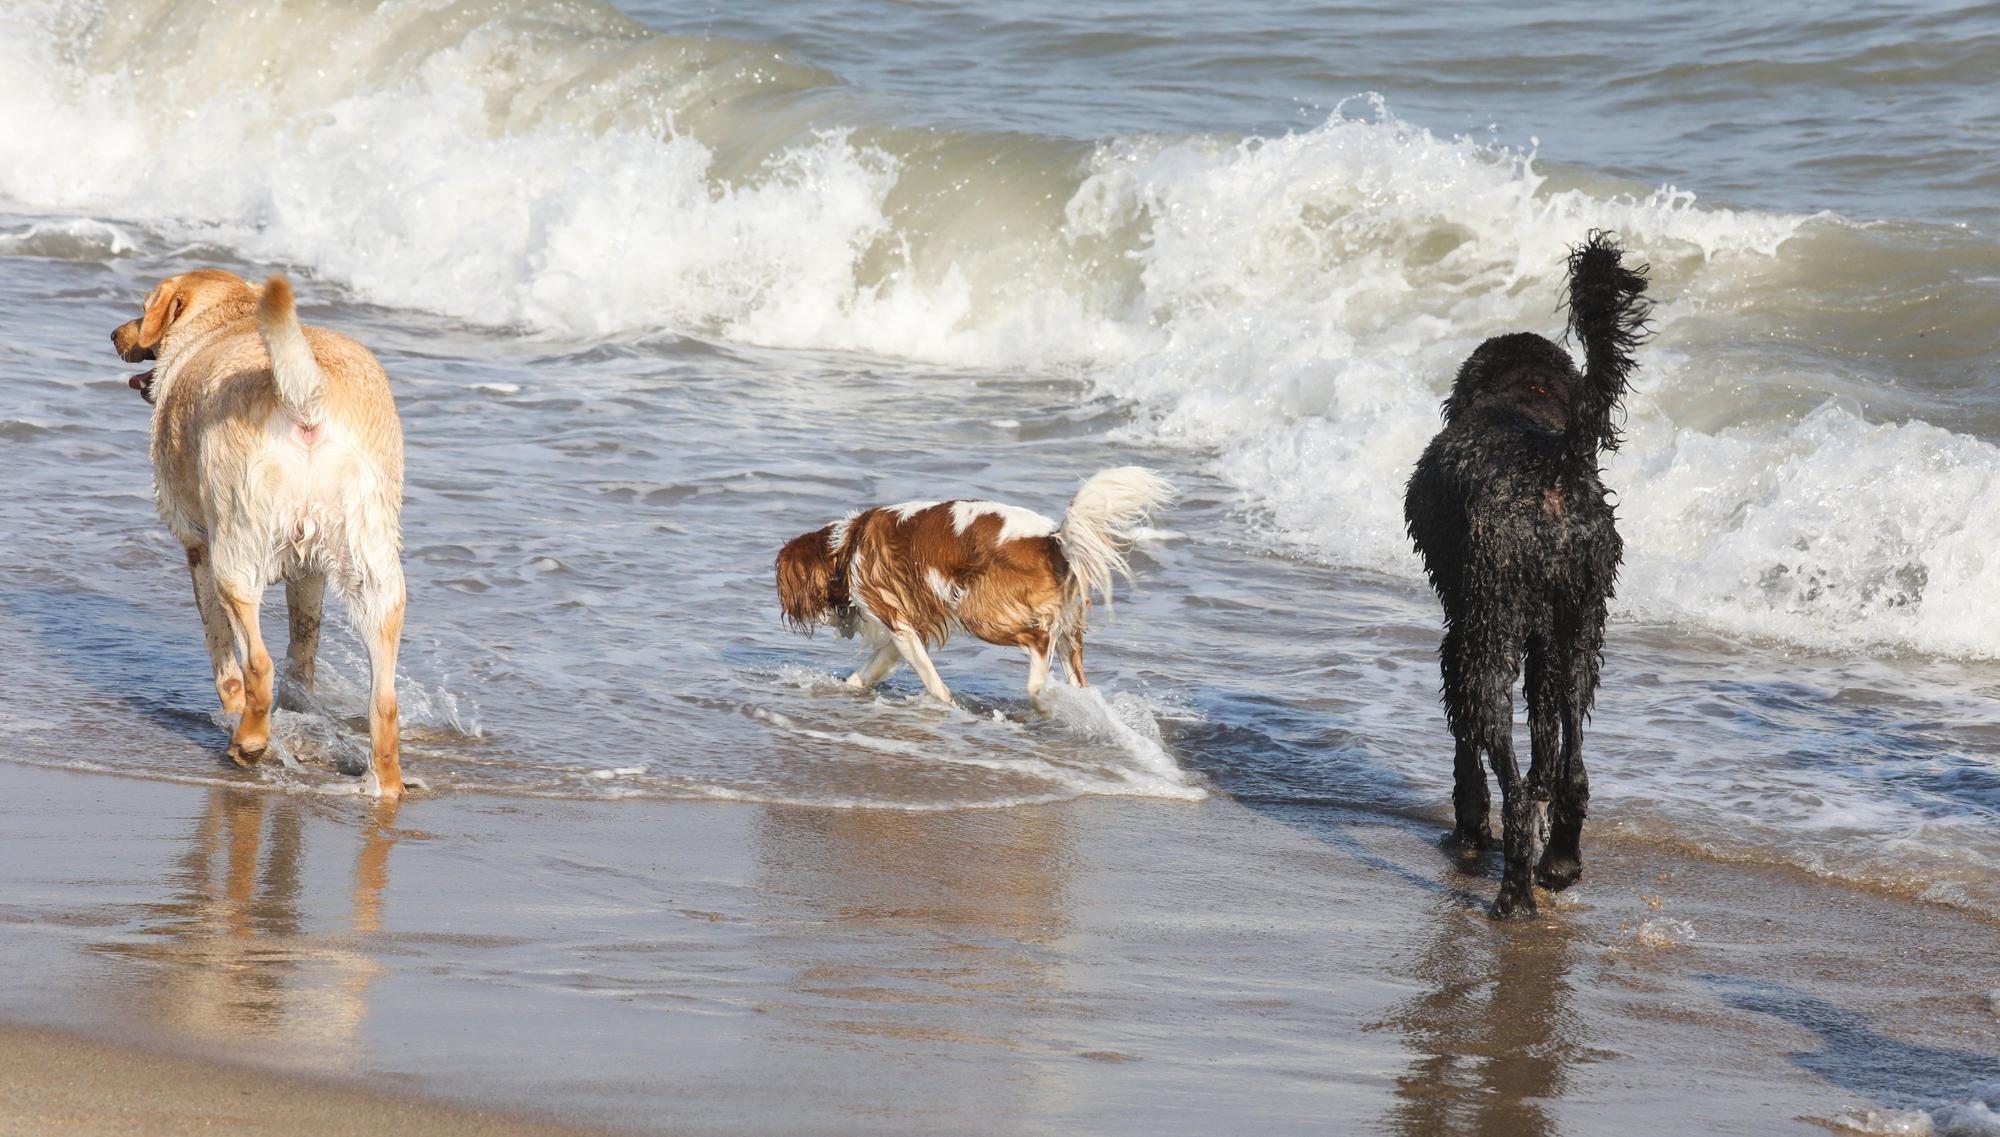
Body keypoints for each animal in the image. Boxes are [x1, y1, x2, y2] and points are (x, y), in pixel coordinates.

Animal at [113, 270, 410, 796]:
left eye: (144, 308)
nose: (115, 334)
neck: (225, 322)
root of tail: (307, 400)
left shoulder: (198, 548)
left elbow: (223, 655)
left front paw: (233, 710)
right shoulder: (309, 573)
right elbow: (303, 650)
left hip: (235, 557)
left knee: (258, 663)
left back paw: (248, 741)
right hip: (372, 567)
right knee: (384, 699)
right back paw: (385, 785)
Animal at [1400, 231, 1648, 916]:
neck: (1525, 404)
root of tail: (1554, 465)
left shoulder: (1464, 625)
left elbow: (1467, 744)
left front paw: (1468, 824)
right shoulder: (1546, 639)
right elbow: (1545, 740)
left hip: (1488, 634)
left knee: (1506, 777)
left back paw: (1513, 892)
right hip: (1581, 629)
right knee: (1571, 770)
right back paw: (1559, 859)